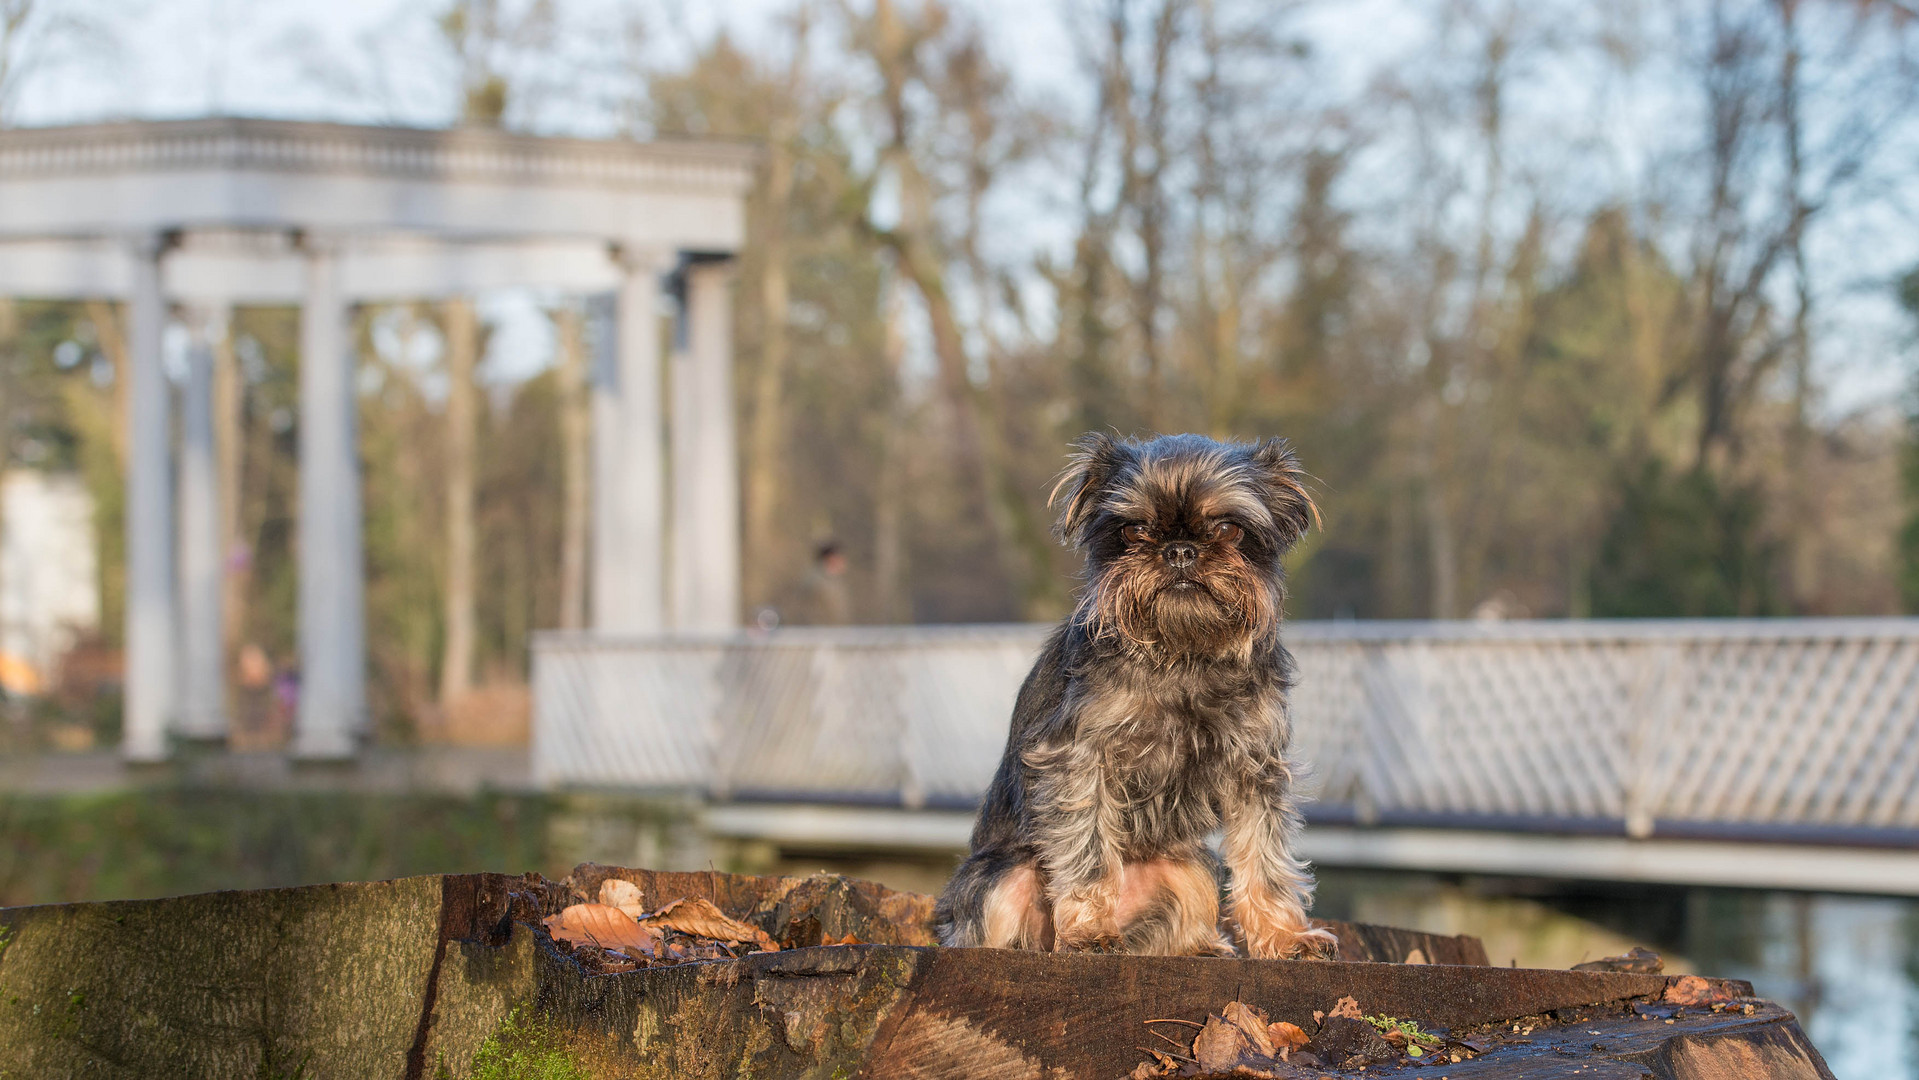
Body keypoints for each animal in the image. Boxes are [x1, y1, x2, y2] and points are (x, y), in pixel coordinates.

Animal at [932, 435, 1335, 959]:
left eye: (1228, 528)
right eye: (1135, 529)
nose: (1180, 550)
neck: (1182, 655)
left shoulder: (1255, 770)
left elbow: (1265, 858)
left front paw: (1286, 936)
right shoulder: (1080, 764)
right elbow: (1088, 852)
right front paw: (1089, 931)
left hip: (1193, 866)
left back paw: (1202, 946)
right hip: (1006, 877)